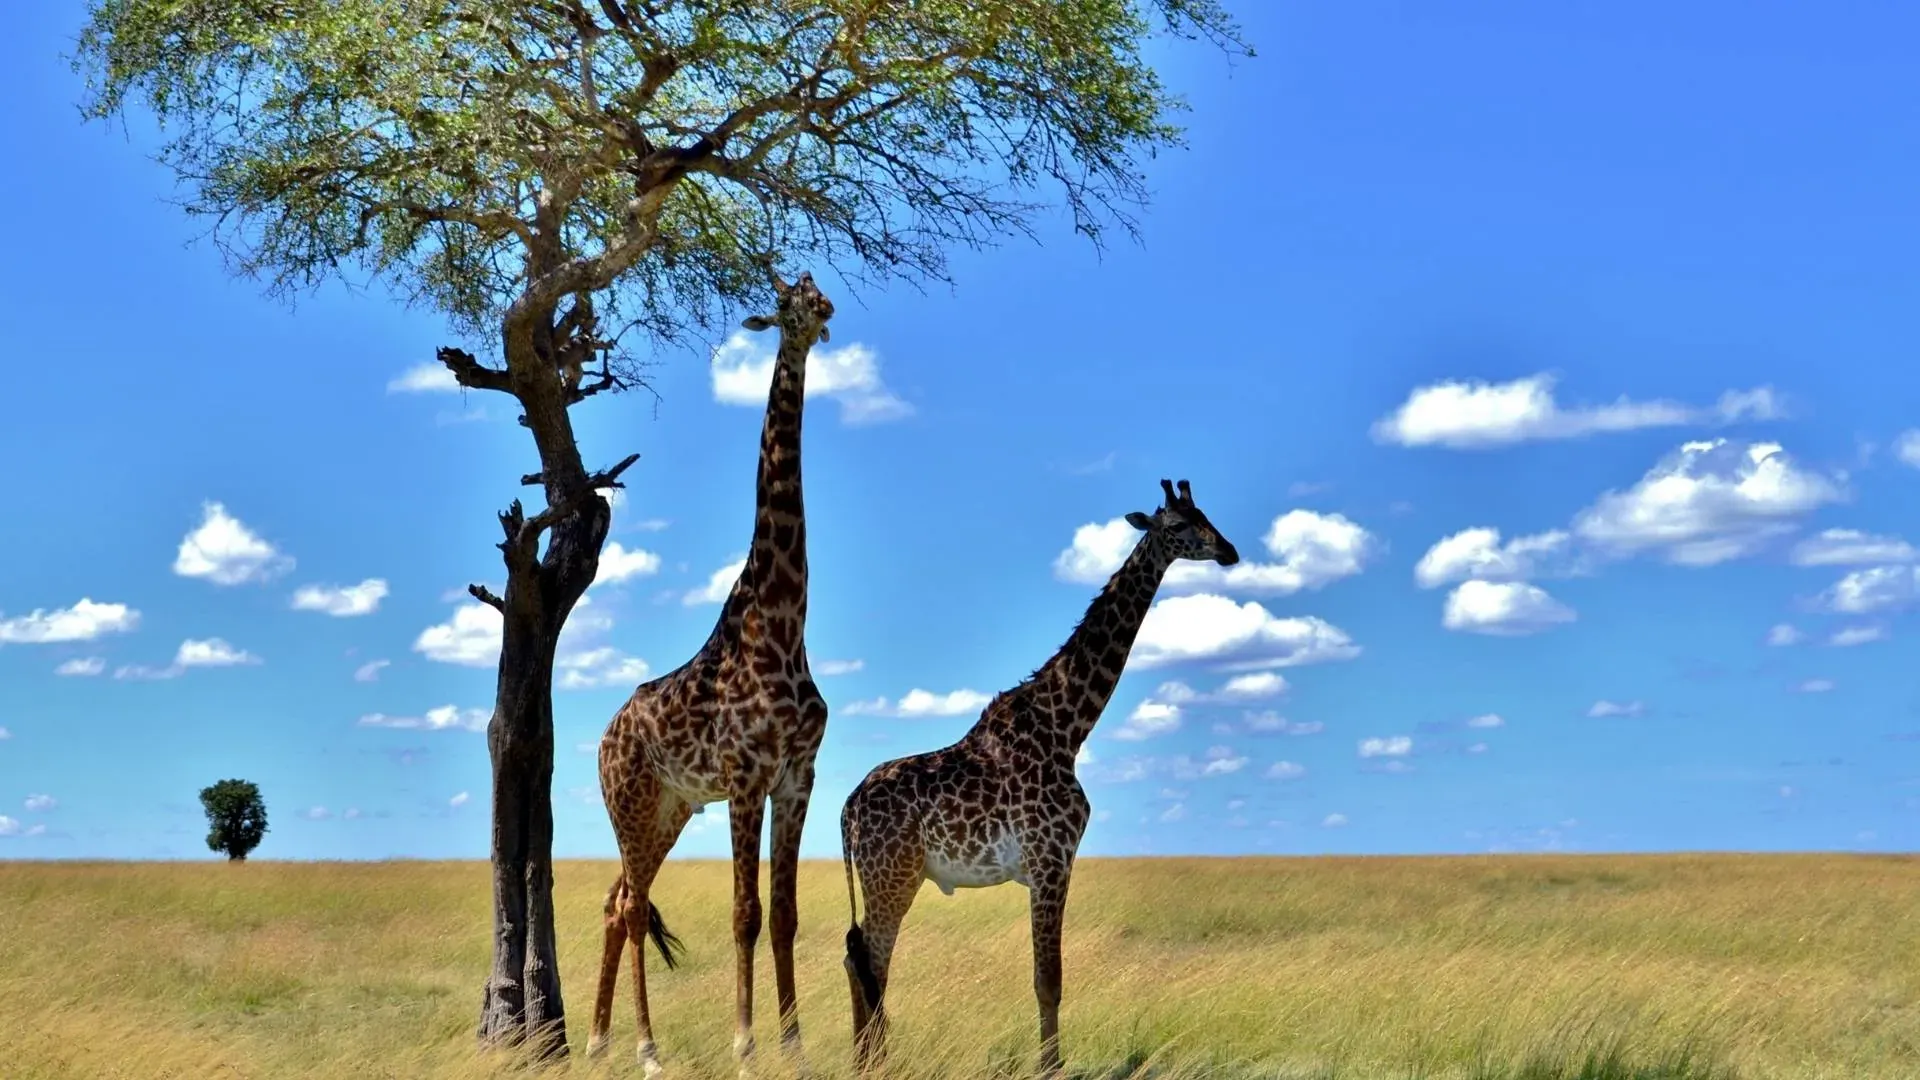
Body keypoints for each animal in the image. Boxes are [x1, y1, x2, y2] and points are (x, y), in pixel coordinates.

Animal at [587, 270, 835, 1077]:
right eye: (787, 299)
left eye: (816, 285)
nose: (822, 313)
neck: (785, 621)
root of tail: (605, 735)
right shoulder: (746, 775)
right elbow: (744, 913)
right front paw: (746, 1044)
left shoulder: (797, 775)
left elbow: (784, 913)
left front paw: (795, 1044)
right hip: (630, 803)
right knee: (633, 908)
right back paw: (644, 1047)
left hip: (667, 809)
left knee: (615, 902)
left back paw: (597, 1040)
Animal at [838, 479, 1241, 1077]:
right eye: (1176, 526)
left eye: (1207, 516)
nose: (1229, 551)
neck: (1067, 728)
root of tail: (846, 808)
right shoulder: (1051, 859)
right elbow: (1048, 980)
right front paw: (1050, 1067)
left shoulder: (1055, 863)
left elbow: (1047, 979)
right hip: (893, 876)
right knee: (872, 961)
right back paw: (874, 1063)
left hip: (884, 878)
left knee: (859, 958)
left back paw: (868, 1060)